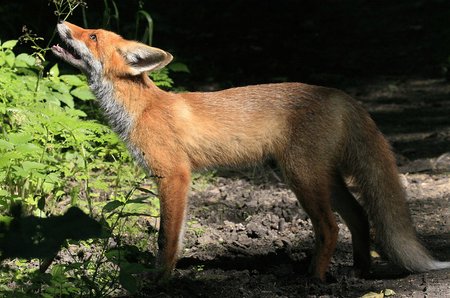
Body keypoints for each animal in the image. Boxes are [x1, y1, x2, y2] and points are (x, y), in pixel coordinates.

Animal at [51, 21, 448, 282]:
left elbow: (166, 238)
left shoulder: (175, 174)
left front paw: (160, 281)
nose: (61, 21)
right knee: (359, 217)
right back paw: (358, 272)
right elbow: (175, 237)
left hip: (301, 176)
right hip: (324, 177)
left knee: (331, 226)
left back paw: (314, 280)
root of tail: (338, 94)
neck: (142, 108)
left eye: (92, 35)